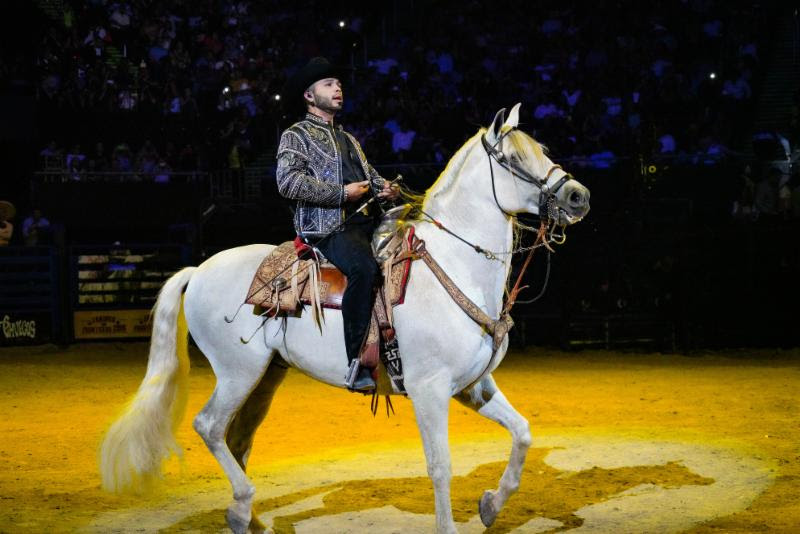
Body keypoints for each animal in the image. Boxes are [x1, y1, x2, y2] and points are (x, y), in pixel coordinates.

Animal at [98, 102, 588, 532]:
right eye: (513, 158)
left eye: (543, 149)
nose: (578, 195)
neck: (455, 264)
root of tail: (198, 270)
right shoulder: (429, 390)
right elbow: (440, 465)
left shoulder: (474, 386)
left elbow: (523, 433)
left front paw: (490, 505)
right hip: (238, 371)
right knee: (210, 426)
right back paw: (241, 509)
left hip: (267, 375)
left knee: (237, 438)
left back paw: (249, 520)